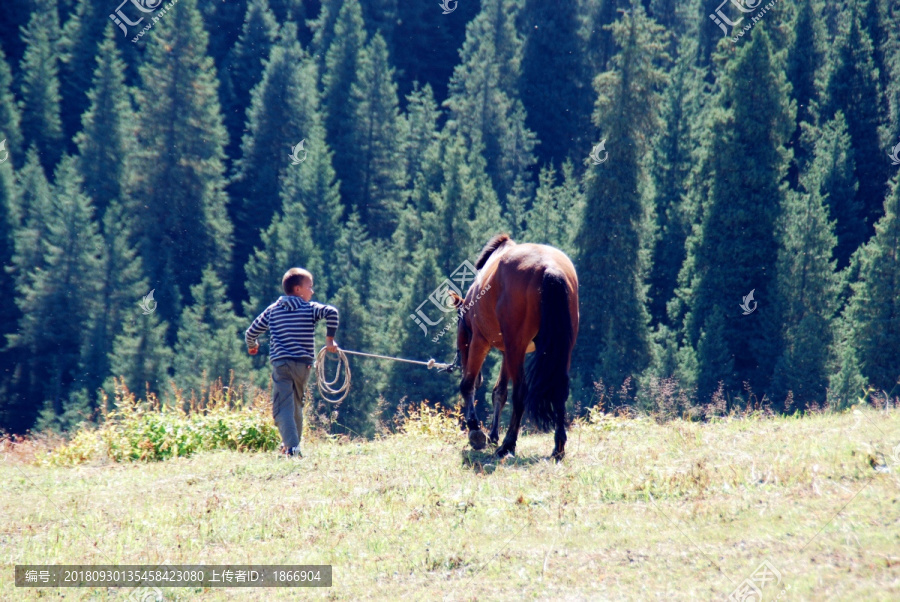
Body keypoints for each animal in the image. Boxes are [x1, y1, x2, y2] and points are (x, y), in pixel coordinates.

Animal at [454, 232, 580, 458]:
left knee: (520, 392)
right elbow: (499, 392)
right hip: (559, 349)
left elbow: (467, 385)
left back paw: (508, 444)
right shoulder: (507, 351)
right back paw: (558, 446)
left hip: (516, 347)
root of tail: (549, 268)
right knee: (559, 390)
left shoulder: (480, 341)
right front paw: (492, 435)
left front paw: (475, 430)